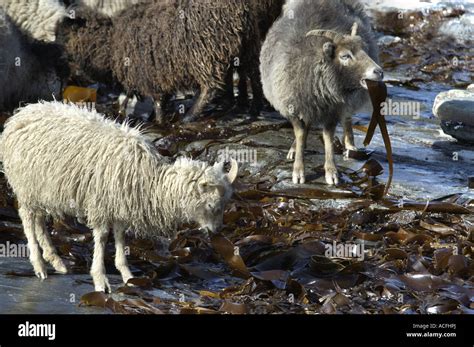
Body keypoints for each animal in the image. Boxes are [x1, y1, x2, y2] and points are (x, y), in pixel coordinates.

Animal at [0, 101, 237, 294]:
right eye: (211, 204)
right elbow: (103, 237)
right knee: (27, 218)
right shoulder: (101, 204)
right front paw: (100, 279)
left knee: (39, 220)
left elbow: (121, 237)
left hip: (42, 189)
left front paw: (127, 275)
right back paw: (39, 265)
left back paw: (56, 261)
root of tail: (21, 113)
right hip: (27, 186)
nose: (216, 231)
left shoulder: (120, 205)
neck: (152, 181)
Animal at [262, 0, 384, 186]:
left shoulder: (333, 111)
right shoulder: (294, 106)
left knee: (347, 117)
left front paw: (331, 172)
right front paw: (298, 170)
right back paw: (294, 148)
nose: (379, 71)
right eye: (345, 56)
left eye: (364, 51)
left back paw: (350, 145)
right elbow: (300, 134)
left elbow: (328, 139)